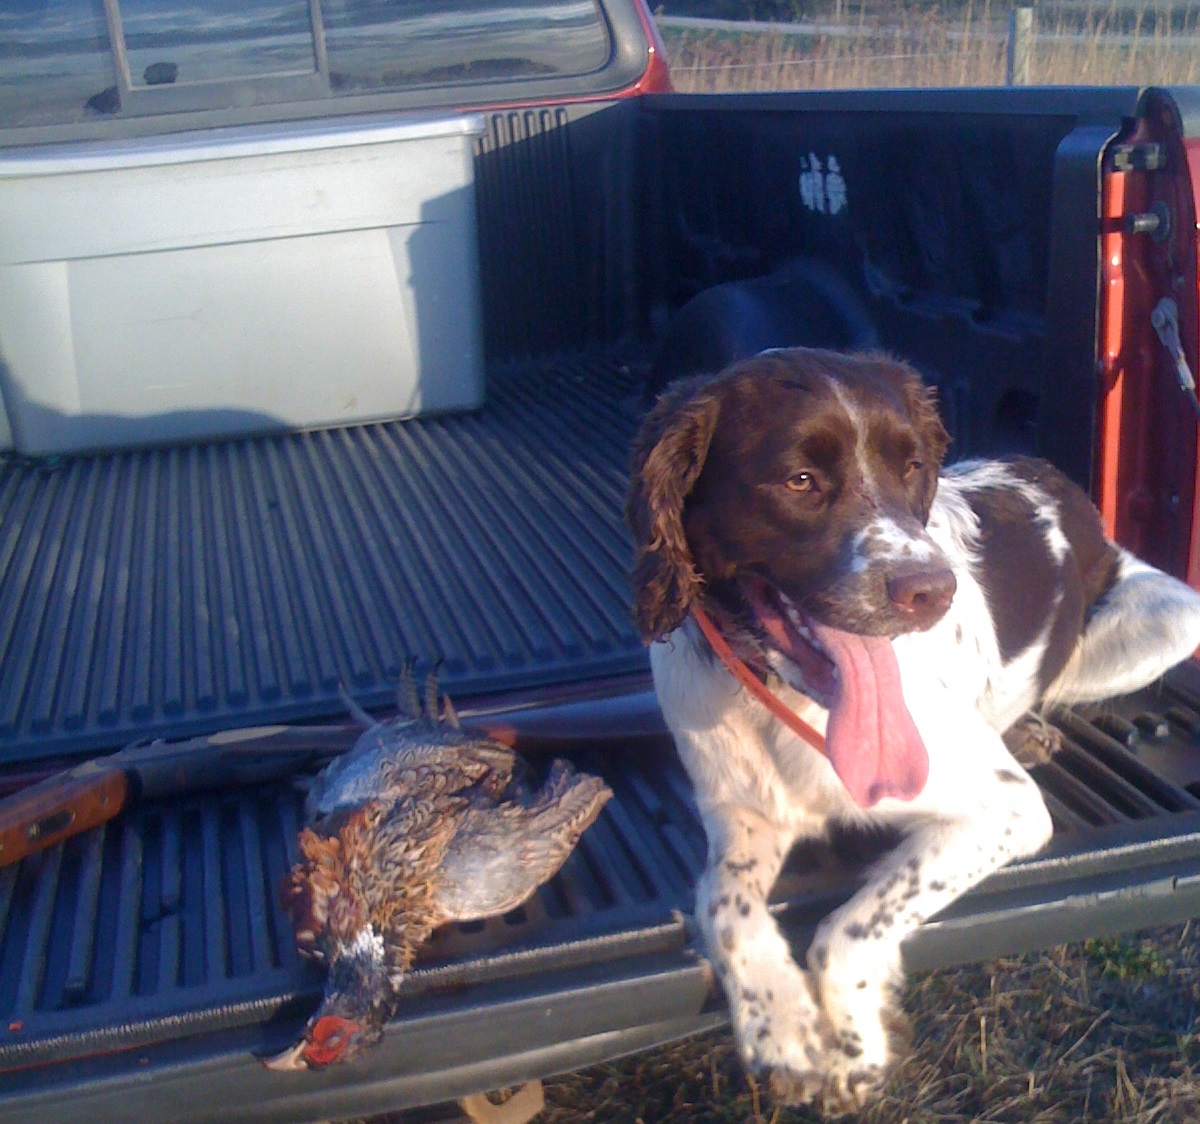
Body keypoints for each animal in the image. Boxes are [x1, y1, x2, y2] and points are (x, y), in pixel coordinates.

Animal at [624, 347, 1200, 1113]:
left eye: (911, 469)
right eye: (799, 480)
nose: (932, 591)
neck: (784, 696)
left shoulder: (1007, 810)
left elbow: (848, 927)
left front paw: (853, 1048)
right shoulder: (744, 818)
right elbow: (722, 907)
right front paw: (782, 1030)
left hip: (1170, 616)